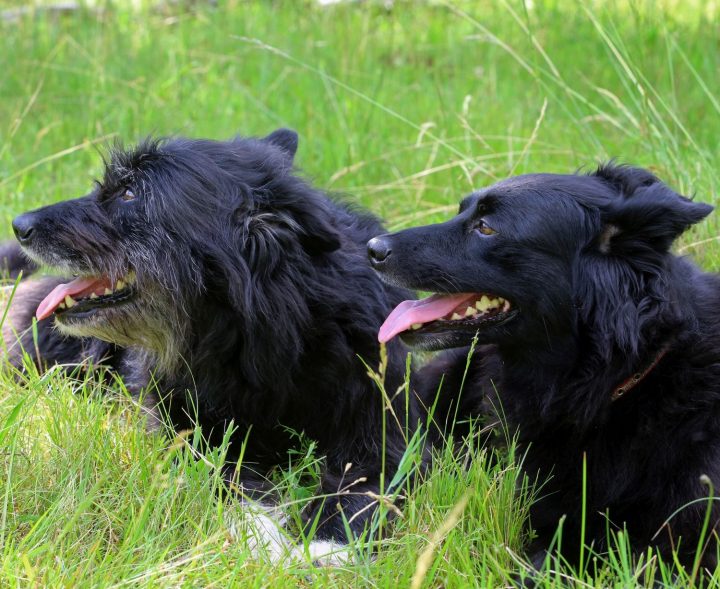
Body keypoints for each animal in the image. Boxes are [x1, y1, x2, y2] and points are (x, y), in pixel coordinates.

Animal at [5, 129, 422, 544]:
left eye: (130, 193)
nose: (18, 224)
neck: (255, 339)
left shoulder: (381, 431)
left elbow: (361, 490)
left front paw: (323, 546)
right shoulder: (188, 437)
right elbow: (233, 486)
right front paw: (268, 542)